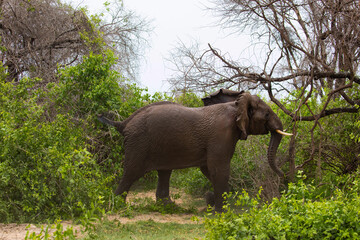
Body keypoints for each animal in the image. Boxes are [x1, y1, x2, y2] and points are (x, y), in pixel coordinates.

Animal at [97, 92, 292, 212]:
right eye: (267, 115)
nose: (283, 176)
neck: (237, 106)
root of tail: (123, 123)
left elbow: (209, 169)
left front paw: (211, 201)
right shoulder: (222, 135)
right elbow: (218, 169)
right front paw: (220, 212)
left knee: (164, 172)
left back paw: (169, 207)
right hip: (139, 143)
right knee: (131, 172)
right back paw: (116, 207)